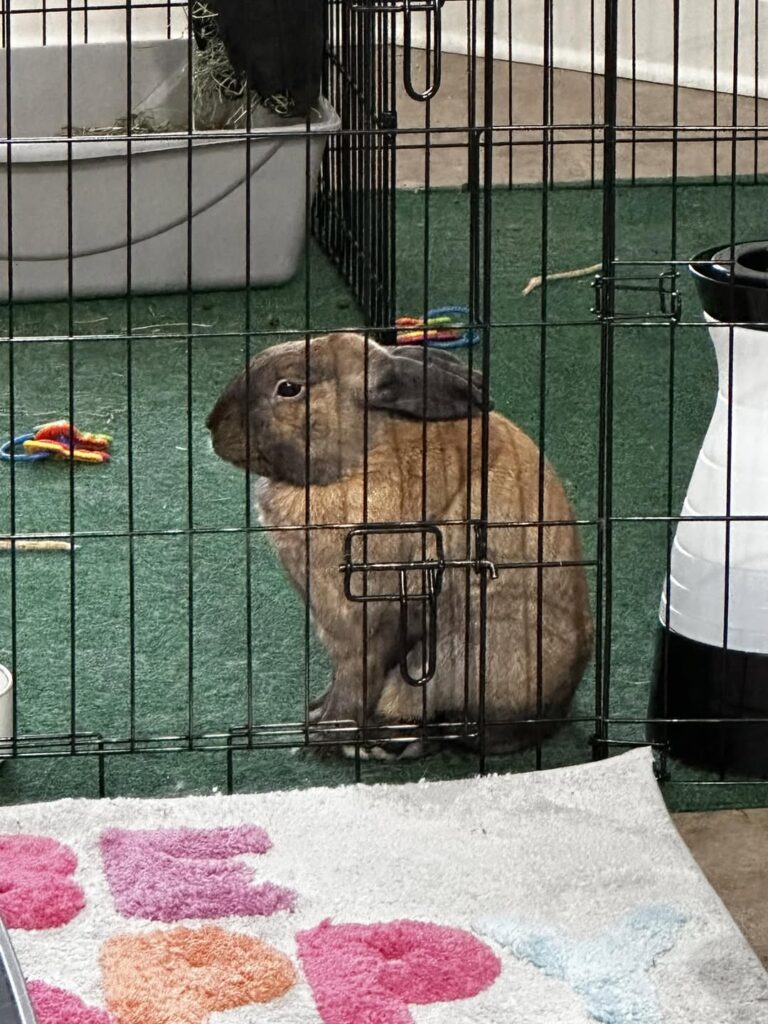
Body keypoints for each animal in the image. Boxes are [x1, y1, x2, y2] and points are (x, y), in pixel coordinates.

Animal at [206, 331, 593, 760]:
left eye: (289, 388)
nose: (213, 427)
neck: (362, 456)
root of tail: (551, 715)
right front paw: (315, 712)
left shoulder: (359, 625)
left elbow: (354, 682)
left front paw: (320, 737)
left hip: (445, 660)